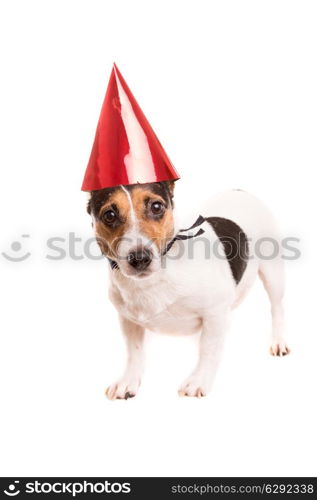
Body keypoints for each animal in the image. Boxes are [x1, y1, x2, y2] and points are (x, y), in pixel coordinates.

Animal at [86, 182, 288, 400]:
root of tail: (240, 191)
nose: (139, 258)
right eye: (109, 215)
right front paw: (128, 381)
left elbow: (208, 349)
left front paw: (198, 380)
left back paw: (278, 341)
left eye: (156, 207)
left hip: (273, 275)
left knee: (277, 308)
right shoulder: (129, 321)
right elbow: (134, 352)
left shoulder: (214, 314)